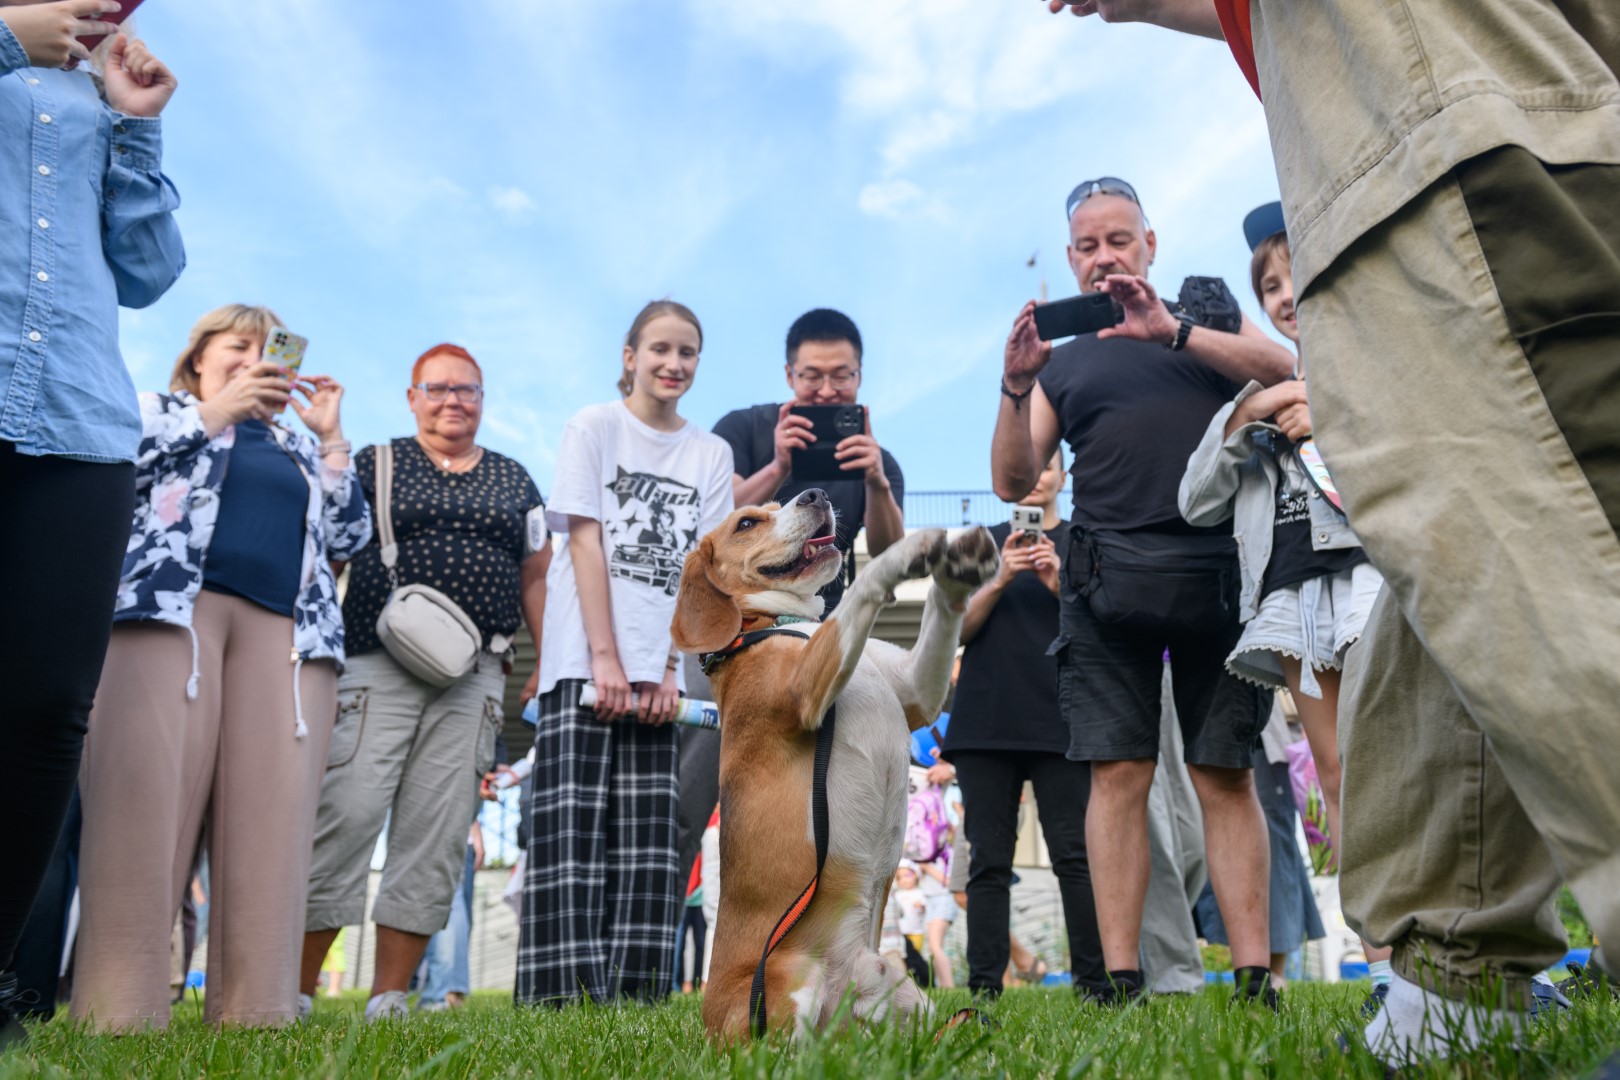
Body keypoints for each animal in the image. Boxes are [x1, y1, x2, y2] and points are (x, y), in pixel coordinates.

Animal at [667, 488, 991, 1036]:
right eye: (747, 522)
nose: (815, 494)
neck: (781, 626)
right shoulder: (805, 686)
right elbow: (863, 582)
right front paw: (903, 552)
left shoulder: (917, 692)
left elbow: (936, 615)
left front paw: (958, 567)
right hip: (788, 982)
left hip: (903, 989)